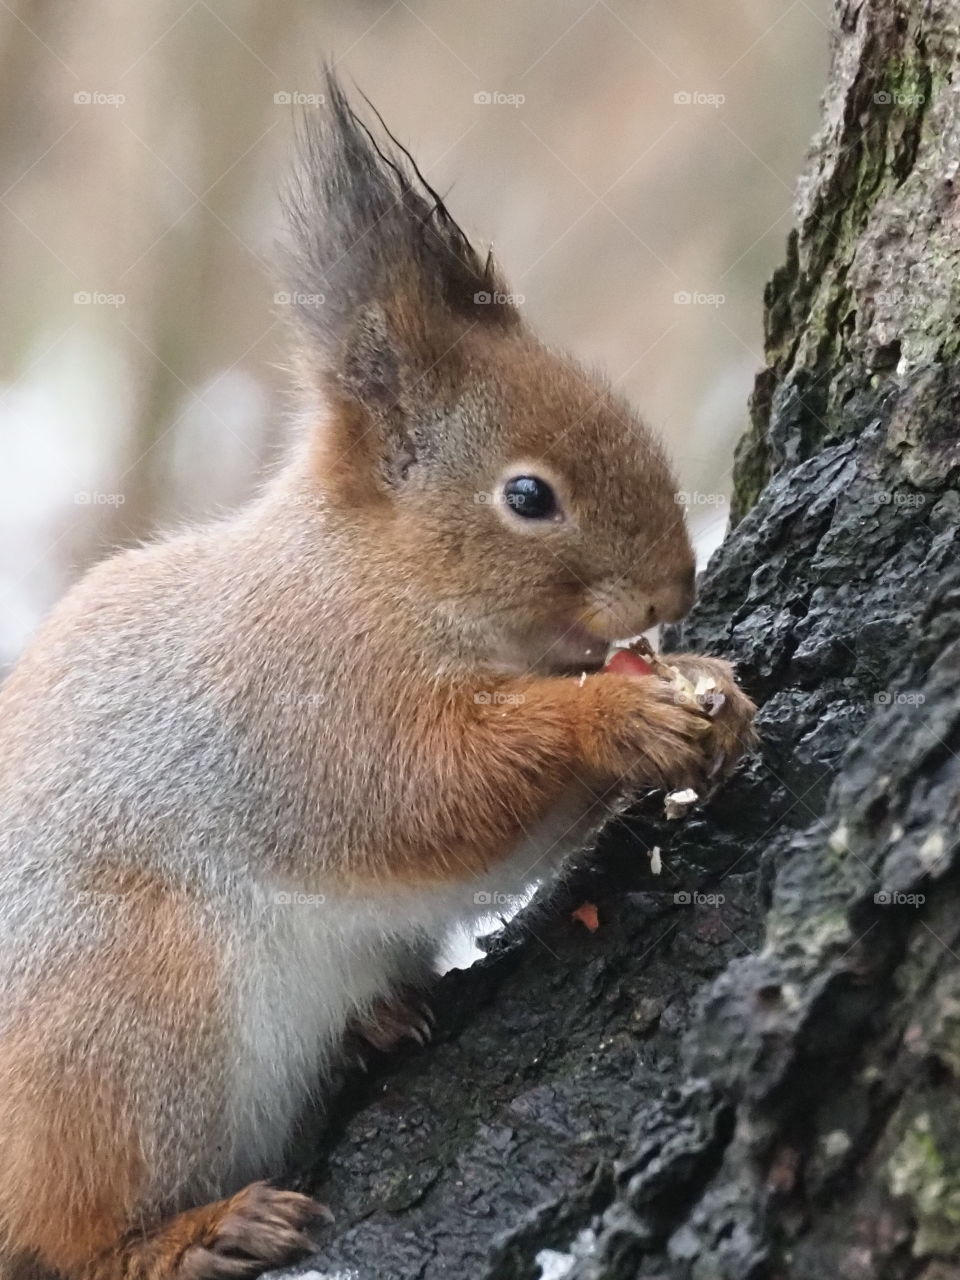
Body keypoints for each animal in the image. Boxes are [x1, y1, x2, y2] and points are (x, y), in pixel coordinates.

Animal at [0, 73, 755, 1280]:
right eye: (529, 496)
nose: (670, 589)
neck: (382, 580)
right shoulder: (310, 703)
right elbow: (434, 794)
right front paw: (616, 714)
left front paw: (709, 689)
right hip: (125, 1019)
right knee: (63, 1233)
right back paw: (200, 1232)